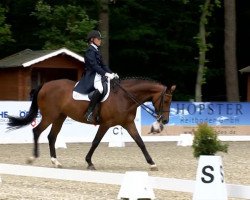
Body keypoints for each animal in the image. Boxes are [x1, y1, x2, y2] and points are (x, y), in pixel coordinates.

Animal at [7, 77, 176, 171]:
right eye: (166, 100)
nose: (165, 121)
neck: (125, 97)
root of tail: (45, 85)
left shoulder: (128, 123)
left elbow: (140, 142)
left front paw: (152, 164)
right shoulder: (106, 124)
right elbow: (95, 142)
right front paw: (89, 162)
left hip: (60, 117)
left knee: (51, 137)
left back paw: (56, 162)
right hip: (50, 115)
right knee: (37, 131)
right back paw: (32, 158)